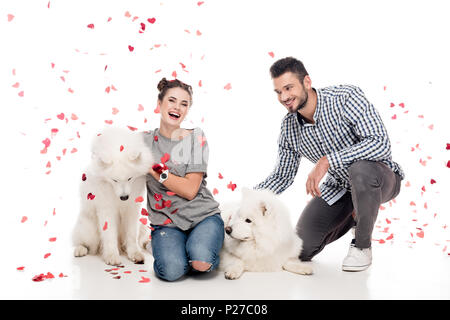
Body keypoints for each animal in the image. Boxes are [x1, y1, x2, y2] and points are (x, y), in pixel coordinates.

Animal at [72, 127, 153, 264]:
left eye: (130, 178)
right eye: (114, 180)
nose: (124, 197)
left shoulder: (133, 208)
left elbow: (132, 234)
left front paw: (134, 253)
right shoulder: (106, 209)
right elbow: (109, 235)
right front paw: (112, 256)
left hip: (143, 223)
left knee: (141, 238)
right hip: (89, 229)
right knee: (82, 242)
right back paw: (80, 250)